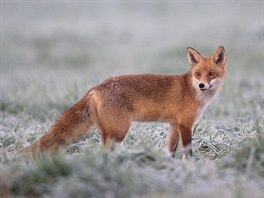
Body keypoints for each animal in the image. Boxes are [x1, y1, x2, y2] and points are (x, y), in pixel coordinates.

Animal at [25, 46, 227, 159]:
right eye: (197, 74)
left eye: (211, 74)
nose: (202, 85)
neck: (192, 91)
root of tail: (96, 87)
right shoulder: (185, 124)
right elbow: (188, 151)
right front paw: (190, 167)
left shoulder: (173, 125)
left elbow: (170, 150)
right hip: (119, 131)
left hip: (109, 132)